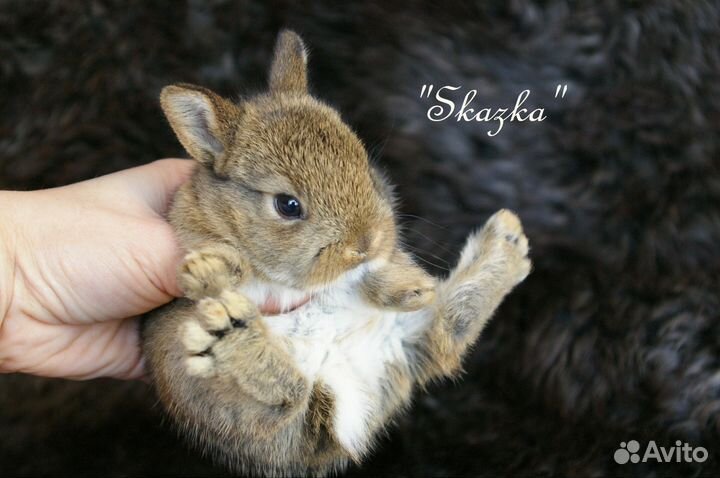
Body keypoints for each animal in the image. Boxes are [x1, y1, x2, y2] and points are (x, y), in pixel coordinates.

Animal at [142, 30, 531, 477]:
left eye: (365, 167)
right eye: (287, 205)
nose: (364, 242)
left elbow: (382, 267)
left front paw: (411, 287)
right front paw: (210, 270)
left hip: (402, 338)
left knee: (447, 329)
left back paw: (508, 240)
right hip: (207, 393)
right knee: (287, 396)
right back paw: (227, 333)